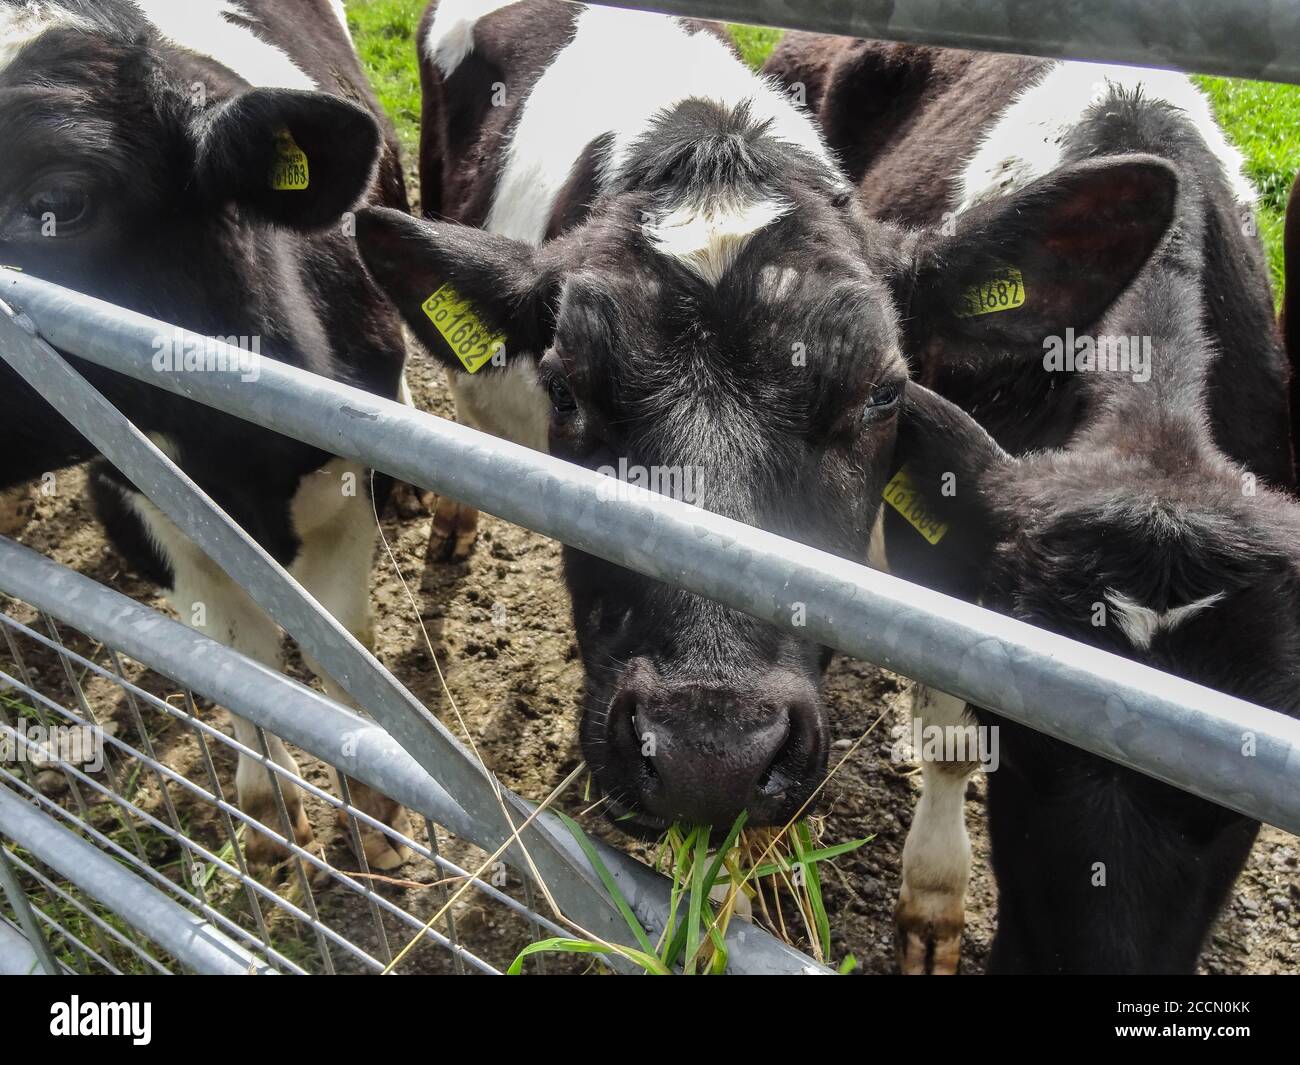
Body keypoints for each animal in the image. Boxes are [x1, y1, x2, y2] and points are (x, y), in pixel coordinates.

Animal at [0, 0, 413, 868]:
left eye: (59, 199)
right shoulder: (148, 506)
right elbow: (238, 657)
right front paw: (267, 807)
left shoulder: (344, 489)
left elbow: (343, 650)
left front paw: (375, 812)